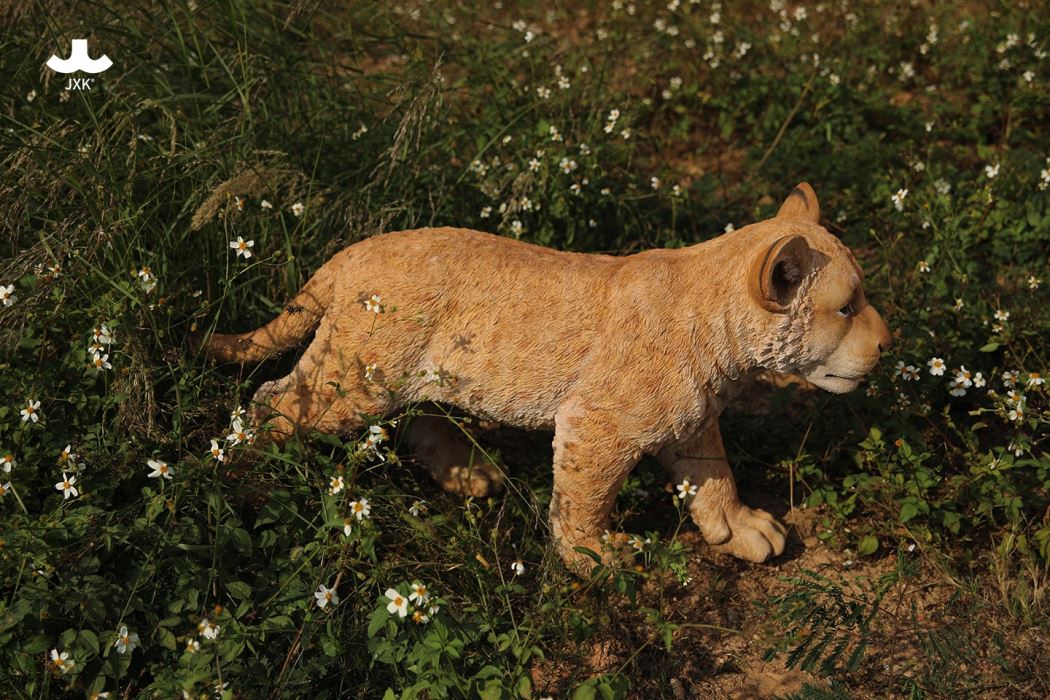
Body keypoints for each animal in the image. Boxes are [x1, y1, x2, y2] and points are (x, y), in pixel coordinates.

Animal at [203, 183, 891, 573]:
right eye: (847, 307)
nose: (888, 345)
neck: (722, 335)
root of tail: (350, 254)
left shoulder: (690, 419)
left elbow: (714, 476)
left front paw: (742, 527)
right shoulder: (598, 422)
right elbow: (586, 498)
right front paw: (597, 557)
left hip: (409, 376)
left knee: (415, 421)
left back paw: (468, 474)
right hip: (356, 379)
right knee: (272, 400)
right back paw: (245, 475)